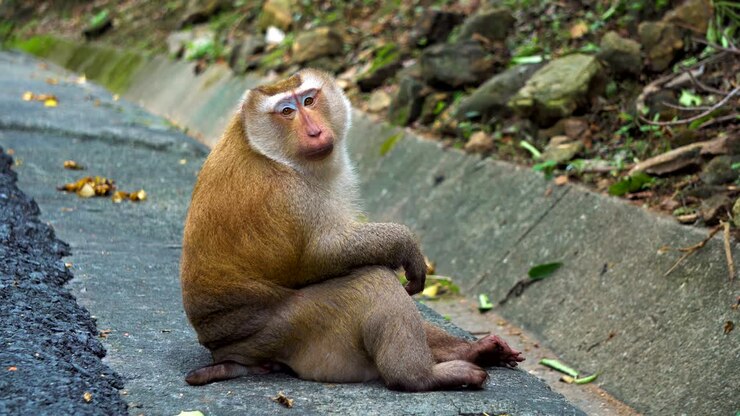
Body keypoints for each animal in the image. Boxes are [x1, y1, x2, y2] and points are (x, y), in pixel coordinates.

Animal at [179, 68, 523, 391]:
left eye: (308, 100)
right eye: (286, 111)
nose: (314, 131)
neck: (263, 147)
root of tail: (226, 353)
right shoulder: (287, 193)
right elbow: (317, 255)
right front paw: (405, 244)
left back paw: (473, 352)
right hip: (291, 331)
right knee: (371, 282)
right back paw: (419, 377)